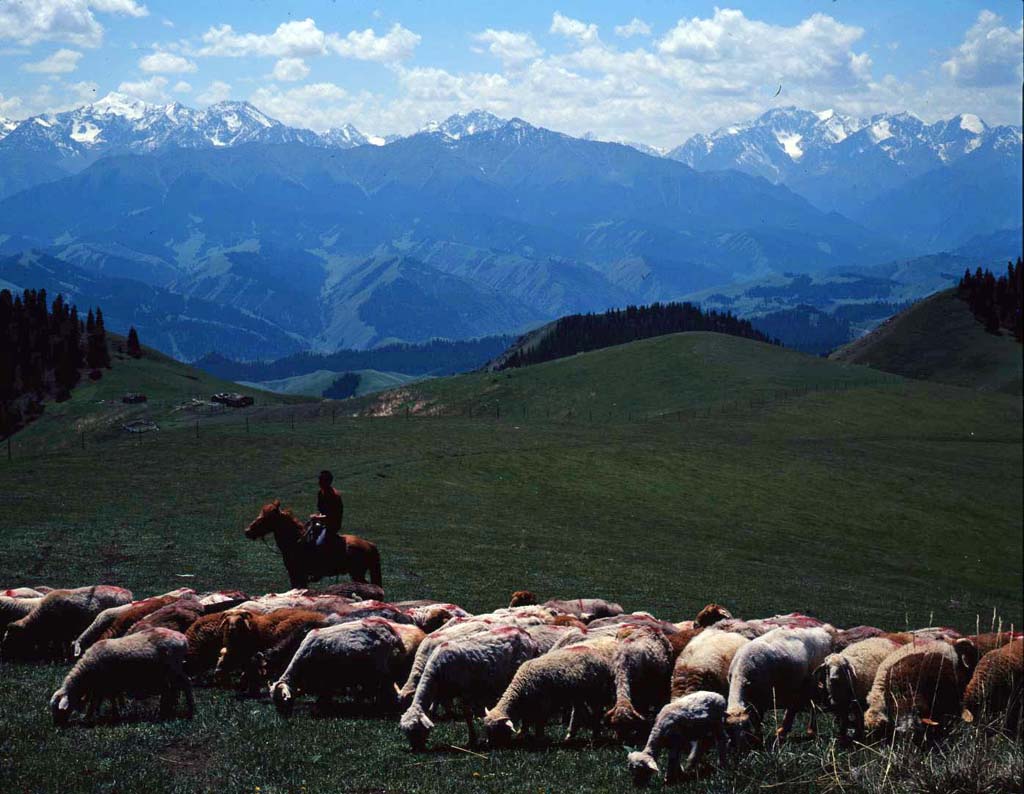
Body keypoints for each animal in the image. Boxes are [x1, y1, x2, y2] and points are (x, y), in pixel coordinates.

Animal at [49, 627, 193, 725]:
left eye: (59, 709)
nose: (57, 725)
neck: (87, 670)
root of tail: (182, 638)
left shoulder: (107, 682)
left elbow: (103, 700)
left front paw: (95, 716)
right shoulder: (102, 684)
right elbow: (100, 700)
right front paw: (95, 715)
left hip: (174, 666)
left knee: (186, 683)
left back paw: (190, 711)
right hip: (168, 670)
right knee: (171, 689)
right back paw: (165, 711)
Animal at [244, 504, 385, 590]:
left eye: (265, 518)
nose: (247, 531)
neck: (296, 541)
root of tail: (369, 544)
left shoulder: (297, 574)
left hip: (357, 574)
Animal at [272, 618, 423, 717]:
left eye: (281, 699)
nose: (283, 716)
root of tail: (391, 631)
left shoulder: (324, 679)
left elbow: (325, 694)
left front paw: (320, 709)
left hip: (381, 666)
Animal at [397, 622, 540, 749]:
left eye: (416, 730)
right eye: (407, 733)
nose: (416, 749)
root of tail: (527, 635)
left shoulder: (464, 691)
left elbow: (467, 715)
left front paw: (472, 740)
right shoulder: (443, 693)